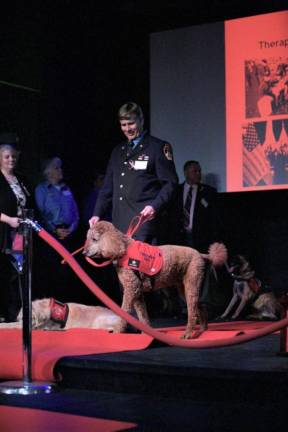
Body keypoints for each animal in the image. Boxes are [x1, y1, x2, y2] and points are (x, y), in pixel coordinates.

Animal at [83, 221, 227, 340]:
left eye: (95, 239)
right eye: (87, 238)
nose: (84, 253)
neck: (123, 247)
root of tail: (200, 254)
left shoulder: (131, 289)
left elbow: (124, 312)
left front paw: (118, 331)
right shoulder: (137, 293)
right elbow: (143, 316)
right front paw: (146, 333)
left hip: (192, 282)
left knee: (192, 311)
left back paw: (188, 333)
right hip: (185, 287)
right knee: (199, 305)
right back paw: (203, 329)